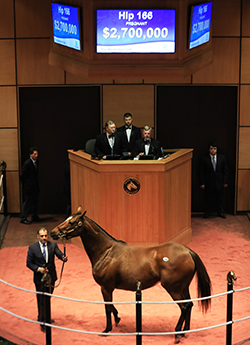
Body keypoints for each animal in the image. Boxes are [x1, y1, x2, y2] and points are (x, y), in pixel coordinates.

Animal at [50, 207, 211, 342]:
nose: (52, 233)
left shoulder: (105, 287)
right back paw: (185, 331)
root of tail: (188, 251)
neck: (106, 252)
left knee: (184, 307)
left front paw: (107, 329)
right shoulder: (108, 288)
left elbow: (107, 307)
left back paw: (177, 333)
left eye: (71, 222)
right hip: (183, 288)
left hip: (173, 289)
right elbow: (112, 307)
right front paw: (117, 318)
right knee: (189, 305)